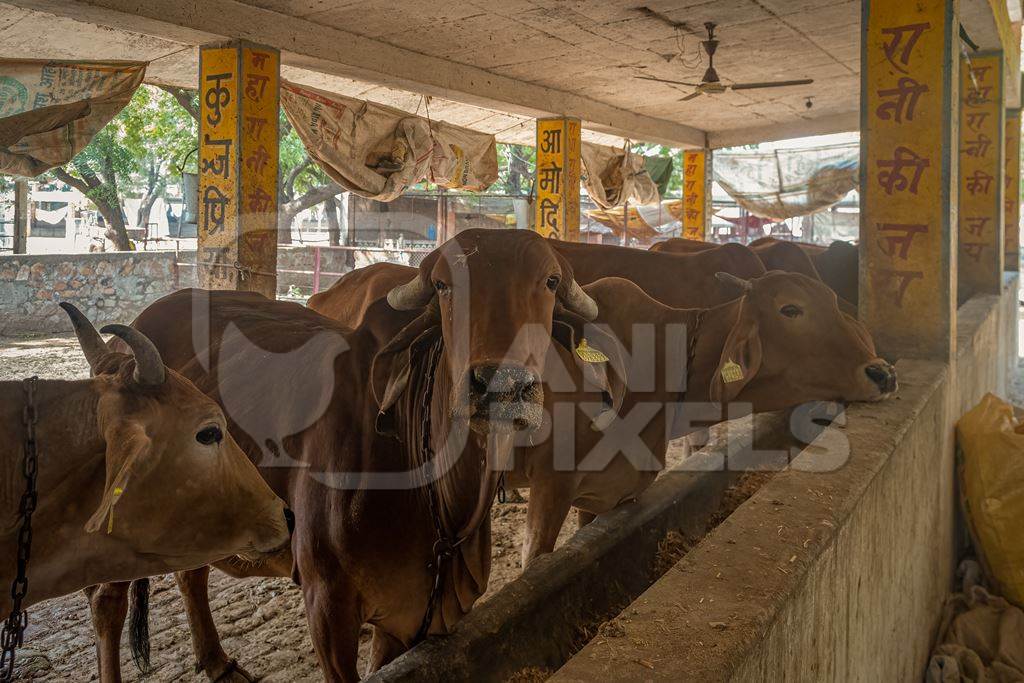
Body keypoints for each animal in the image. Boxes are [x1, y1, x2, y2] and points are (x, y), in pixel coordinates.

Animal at [86, 231, 606, 683]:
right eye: (443, 285)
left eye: (551, 281)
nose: (501, 385)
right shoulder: (328, 606)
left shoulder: (411, 615)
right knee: (107, 601)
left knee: (190, 575)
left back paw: (217, 661)